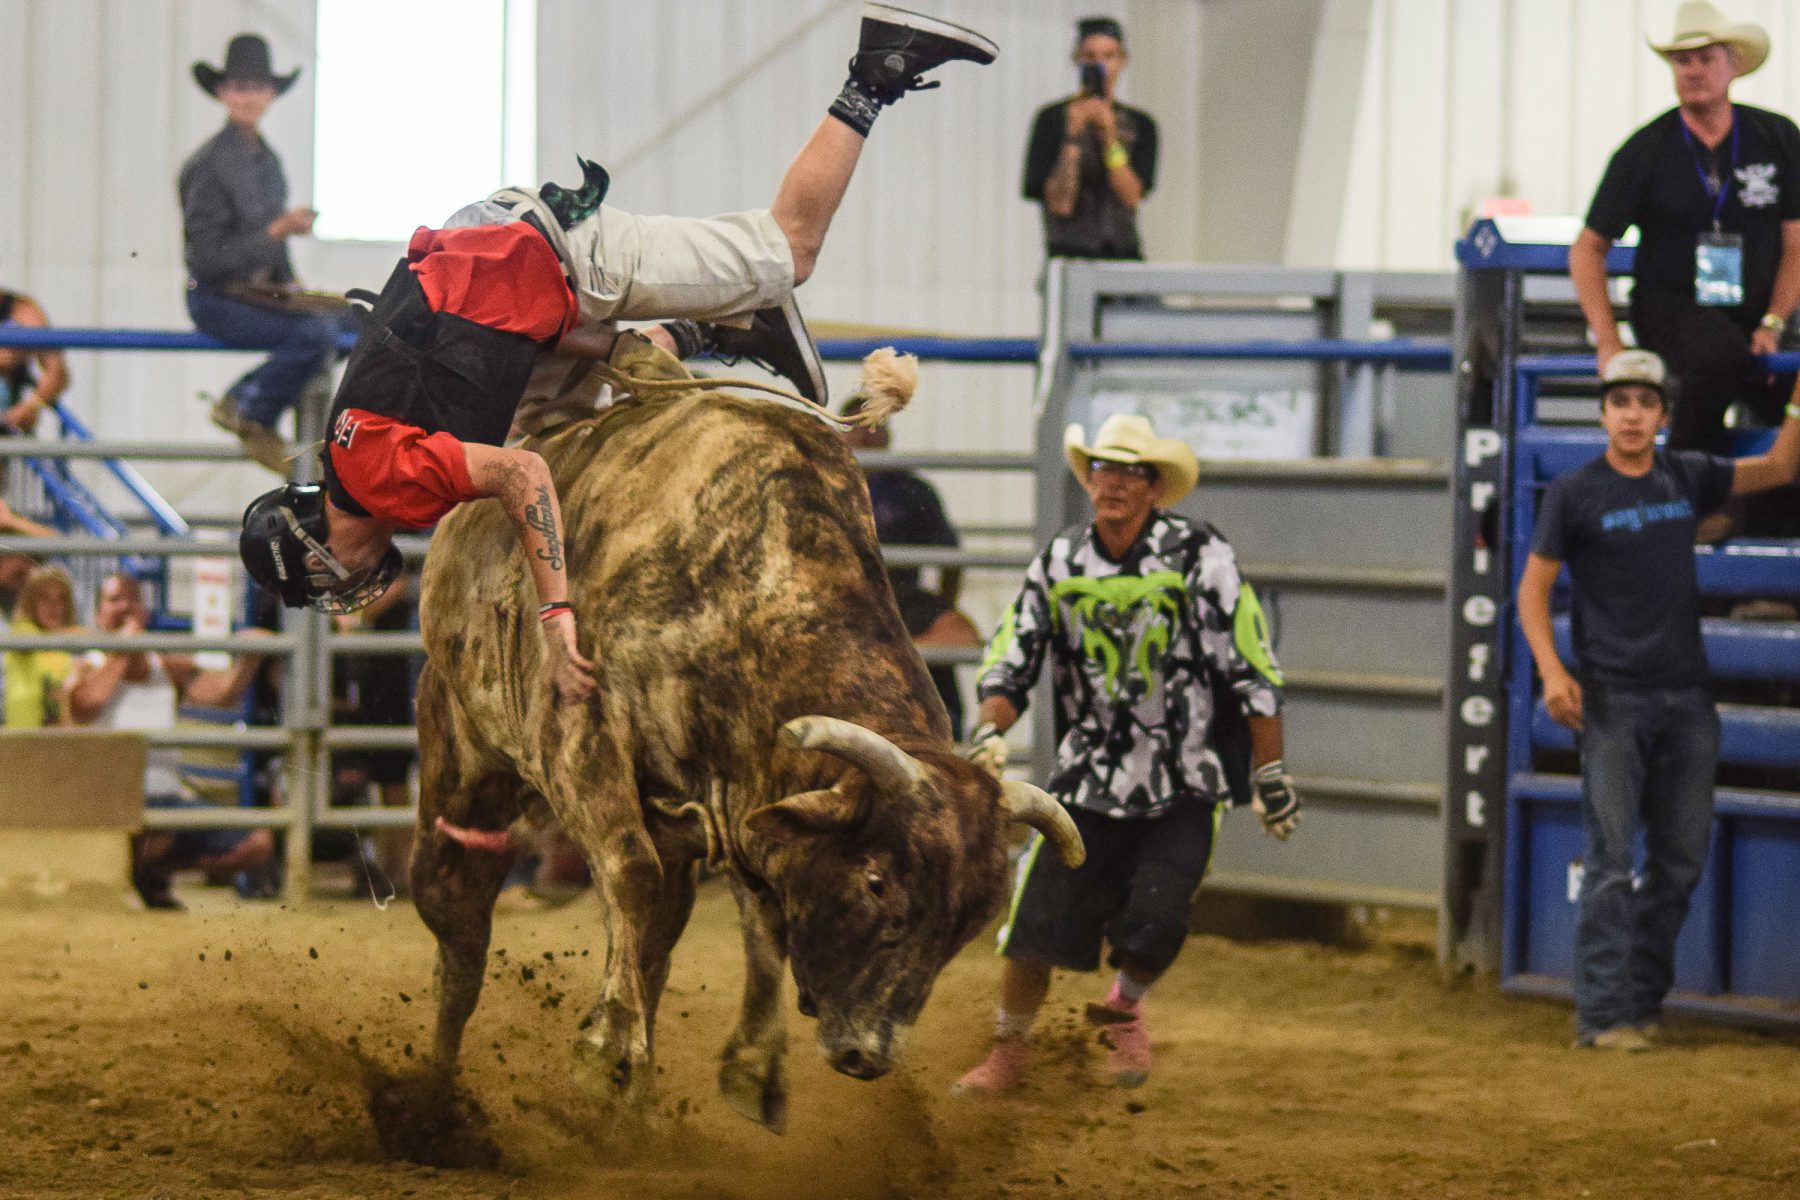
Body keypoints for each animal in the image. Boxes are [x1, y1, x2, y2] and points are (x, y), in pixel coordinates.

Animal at [408, 341, 1080, 1129]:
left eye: (970, 919)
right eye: (876, 880)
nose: (870, 1053)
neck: (748, 594)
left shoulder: (740, 807)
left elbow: (758, 922)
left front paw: (750, 1066)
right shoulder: (579, 736)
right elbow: (631, 873)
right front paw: (606, 1049)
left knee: (657, 936)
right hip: (463, 747)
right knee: (458, 918)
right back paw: (438, 1088)